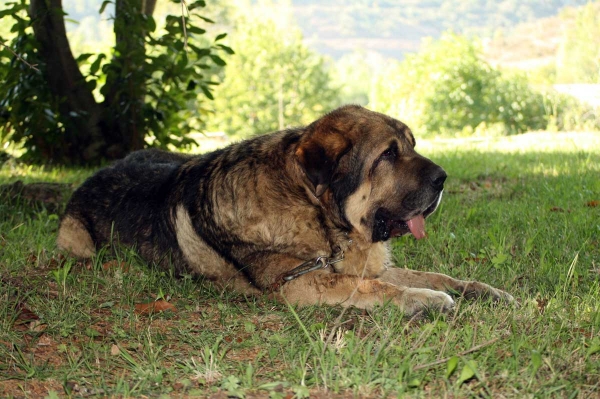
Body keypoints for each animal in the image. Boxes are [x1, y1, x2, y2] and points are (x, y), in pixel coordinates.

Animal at [56, 105, 512, 316]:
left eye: (412, 145)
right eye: (387, 155)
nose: (443, 179)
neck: (315, 211)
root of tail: (98, 172)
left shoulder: (359, 264)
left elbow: (435, 274)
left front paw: (482, 289)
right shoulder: (301, 283)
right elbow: (375, 287)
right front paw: (424, 299)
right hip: (77, 240)